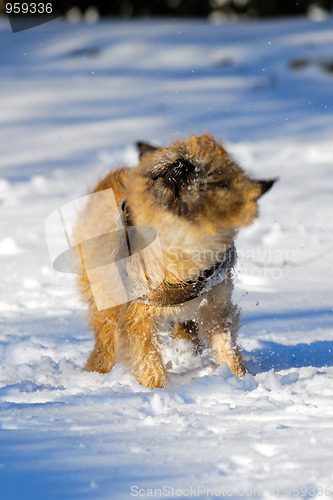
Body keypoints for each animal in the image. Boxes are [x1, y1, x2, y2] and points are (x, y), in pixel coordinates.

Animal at [73, 135, 274, 388]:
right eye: (182, 152)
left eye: (213, 175)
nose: (181, 164)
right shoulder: (139, 317)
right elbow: (148, 360)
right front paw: (158, 389)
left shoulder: (216, 309)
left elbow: (227, 348)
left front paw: (239, 378)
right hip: (106, 296)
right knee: (105, 339)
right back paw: (97, 372)